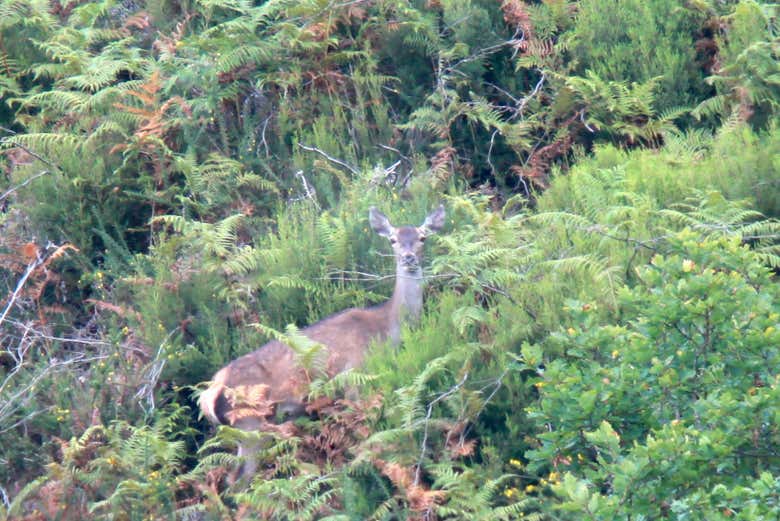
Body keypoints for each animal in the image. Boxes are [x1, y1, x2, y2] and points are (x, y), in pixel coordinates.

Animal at [198, 203, 444, 476]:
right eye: (393, 239)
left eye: (423, 237)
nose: (408, 257)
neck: (387, 329)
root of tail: (210, 393)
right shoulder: (354, 376)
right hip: (251, 422)